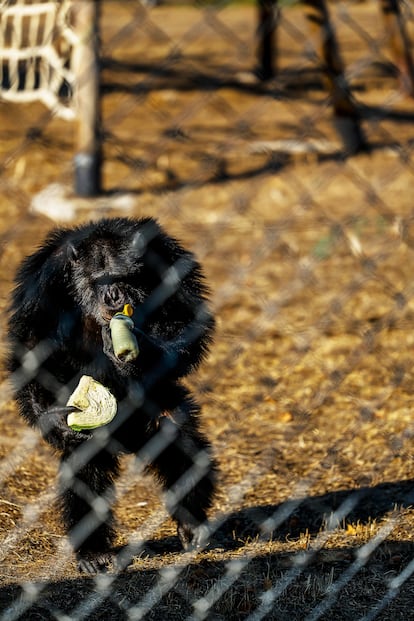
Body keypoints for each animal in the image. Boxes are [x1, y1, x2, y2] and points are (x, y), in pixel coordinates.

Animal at [7, 217, 217, 572]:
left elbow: (185, 322)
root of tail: (127, 440)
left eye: (121, 277)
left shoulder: (169, 261)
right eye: (98, 280)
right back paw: (93, 551)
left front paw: (139, 346)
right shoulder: (44, 280)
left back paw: (191, 524)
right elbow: (32, 340)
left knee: (177, 435)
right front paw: (50, 420)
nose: (113, 294)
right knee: (85, 463)